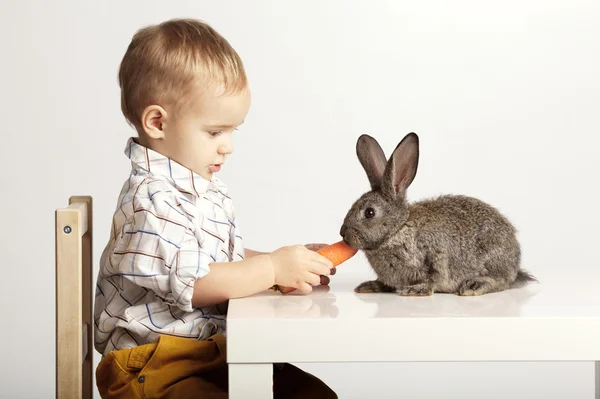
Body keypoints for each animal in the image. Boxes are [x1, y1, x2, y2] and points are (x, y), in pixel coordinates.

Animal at [340, 134, 536, 296]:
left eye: (369, 212)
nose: (343, 234)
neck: (398, 229)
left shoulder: (437, 255)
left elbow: (434, 277)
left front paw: (416, 290)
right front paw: (371, 286)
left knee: (501, 281)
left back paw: (474, 286)